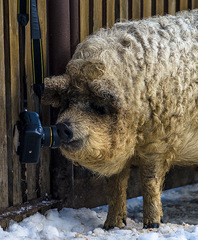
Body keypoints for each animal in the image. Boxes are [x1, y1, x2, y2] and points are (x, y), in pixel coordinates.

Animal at [42, 9, 198, 229]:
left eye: (98, 107)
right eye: (67, 102)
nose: (63, 126)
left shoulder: (159, 142)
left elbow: (149, 181)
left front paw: (152, 224)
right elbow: (115, 184)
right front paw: (111, 226)